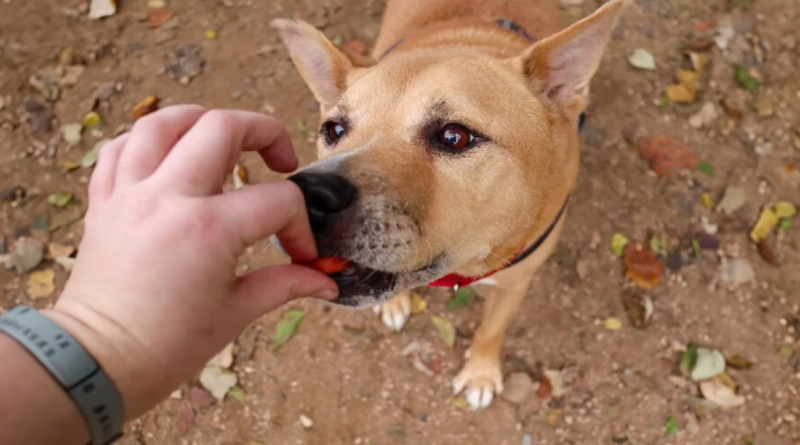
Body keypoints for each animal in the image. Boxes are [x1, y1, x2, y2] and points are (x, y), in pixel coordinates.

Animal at [276, 0, 632, 410]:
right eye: (333, 130)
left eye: (454, 136)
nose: (308, 195)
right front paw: (394, 305)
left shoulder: (516, 282)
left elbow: (491, 330)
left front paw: (480, 373)